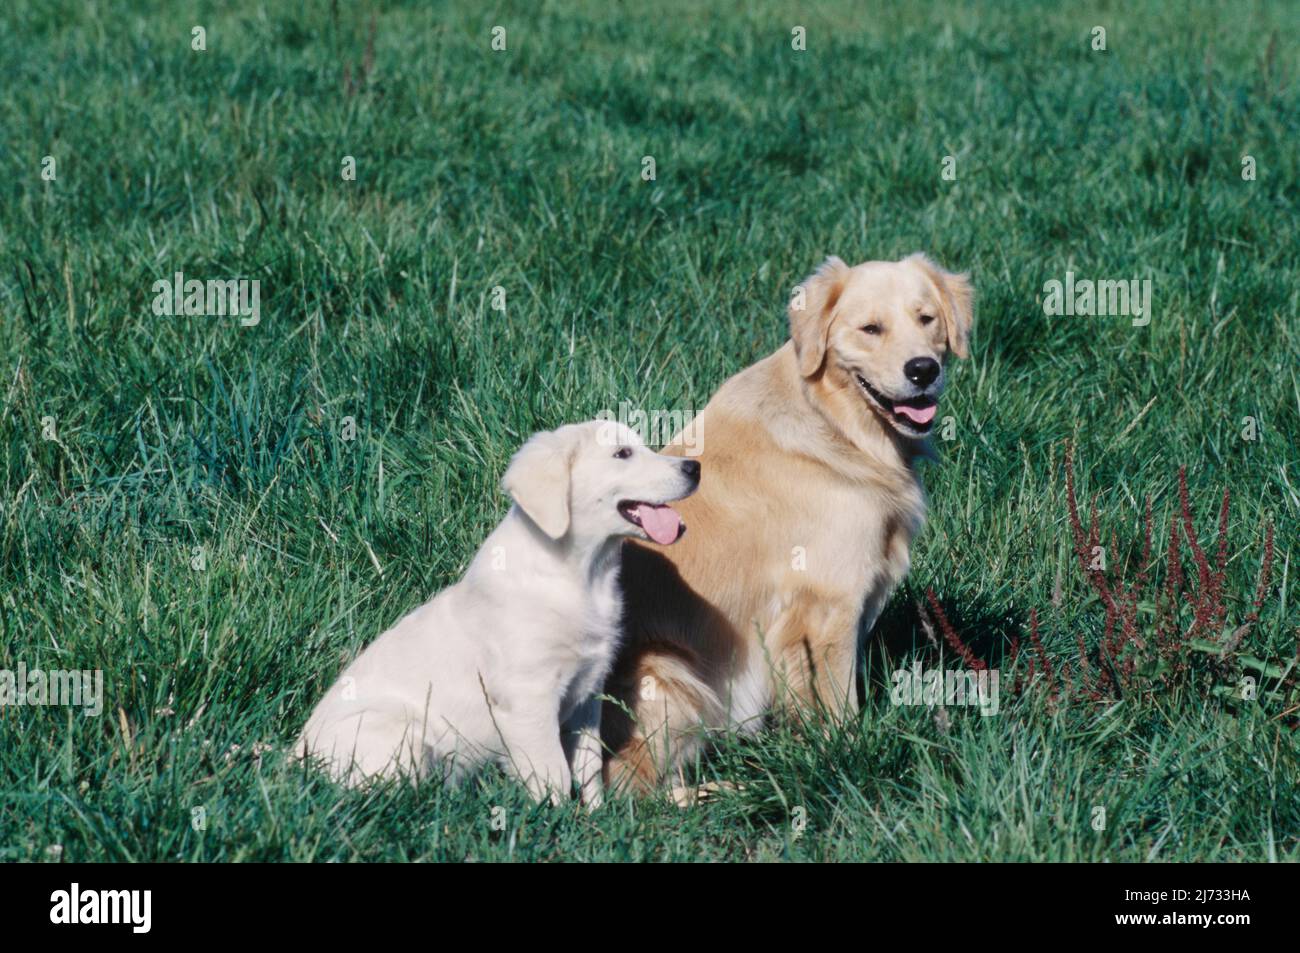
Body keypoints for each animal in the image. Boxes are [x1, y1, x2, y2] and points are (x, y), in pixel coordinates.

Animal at [295, 418, 702, 800]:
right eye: (622, 454)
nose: (693, 467)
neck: (582, 576)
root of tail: (294, 758)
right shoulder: (527, 698)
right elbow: (553, 772)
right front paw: (553, 819)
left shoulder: (587, 693)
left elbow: (586, 766)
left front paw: (594, 817)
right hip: (401, 731)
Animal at [603, 250, 972, 790]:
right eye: (871, 328)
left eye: (926, 319)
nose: (923, 370)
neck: (836, 422)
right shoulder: (829, 604)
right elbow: (839, 703)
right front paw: (848, 754)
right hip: (666, 670)